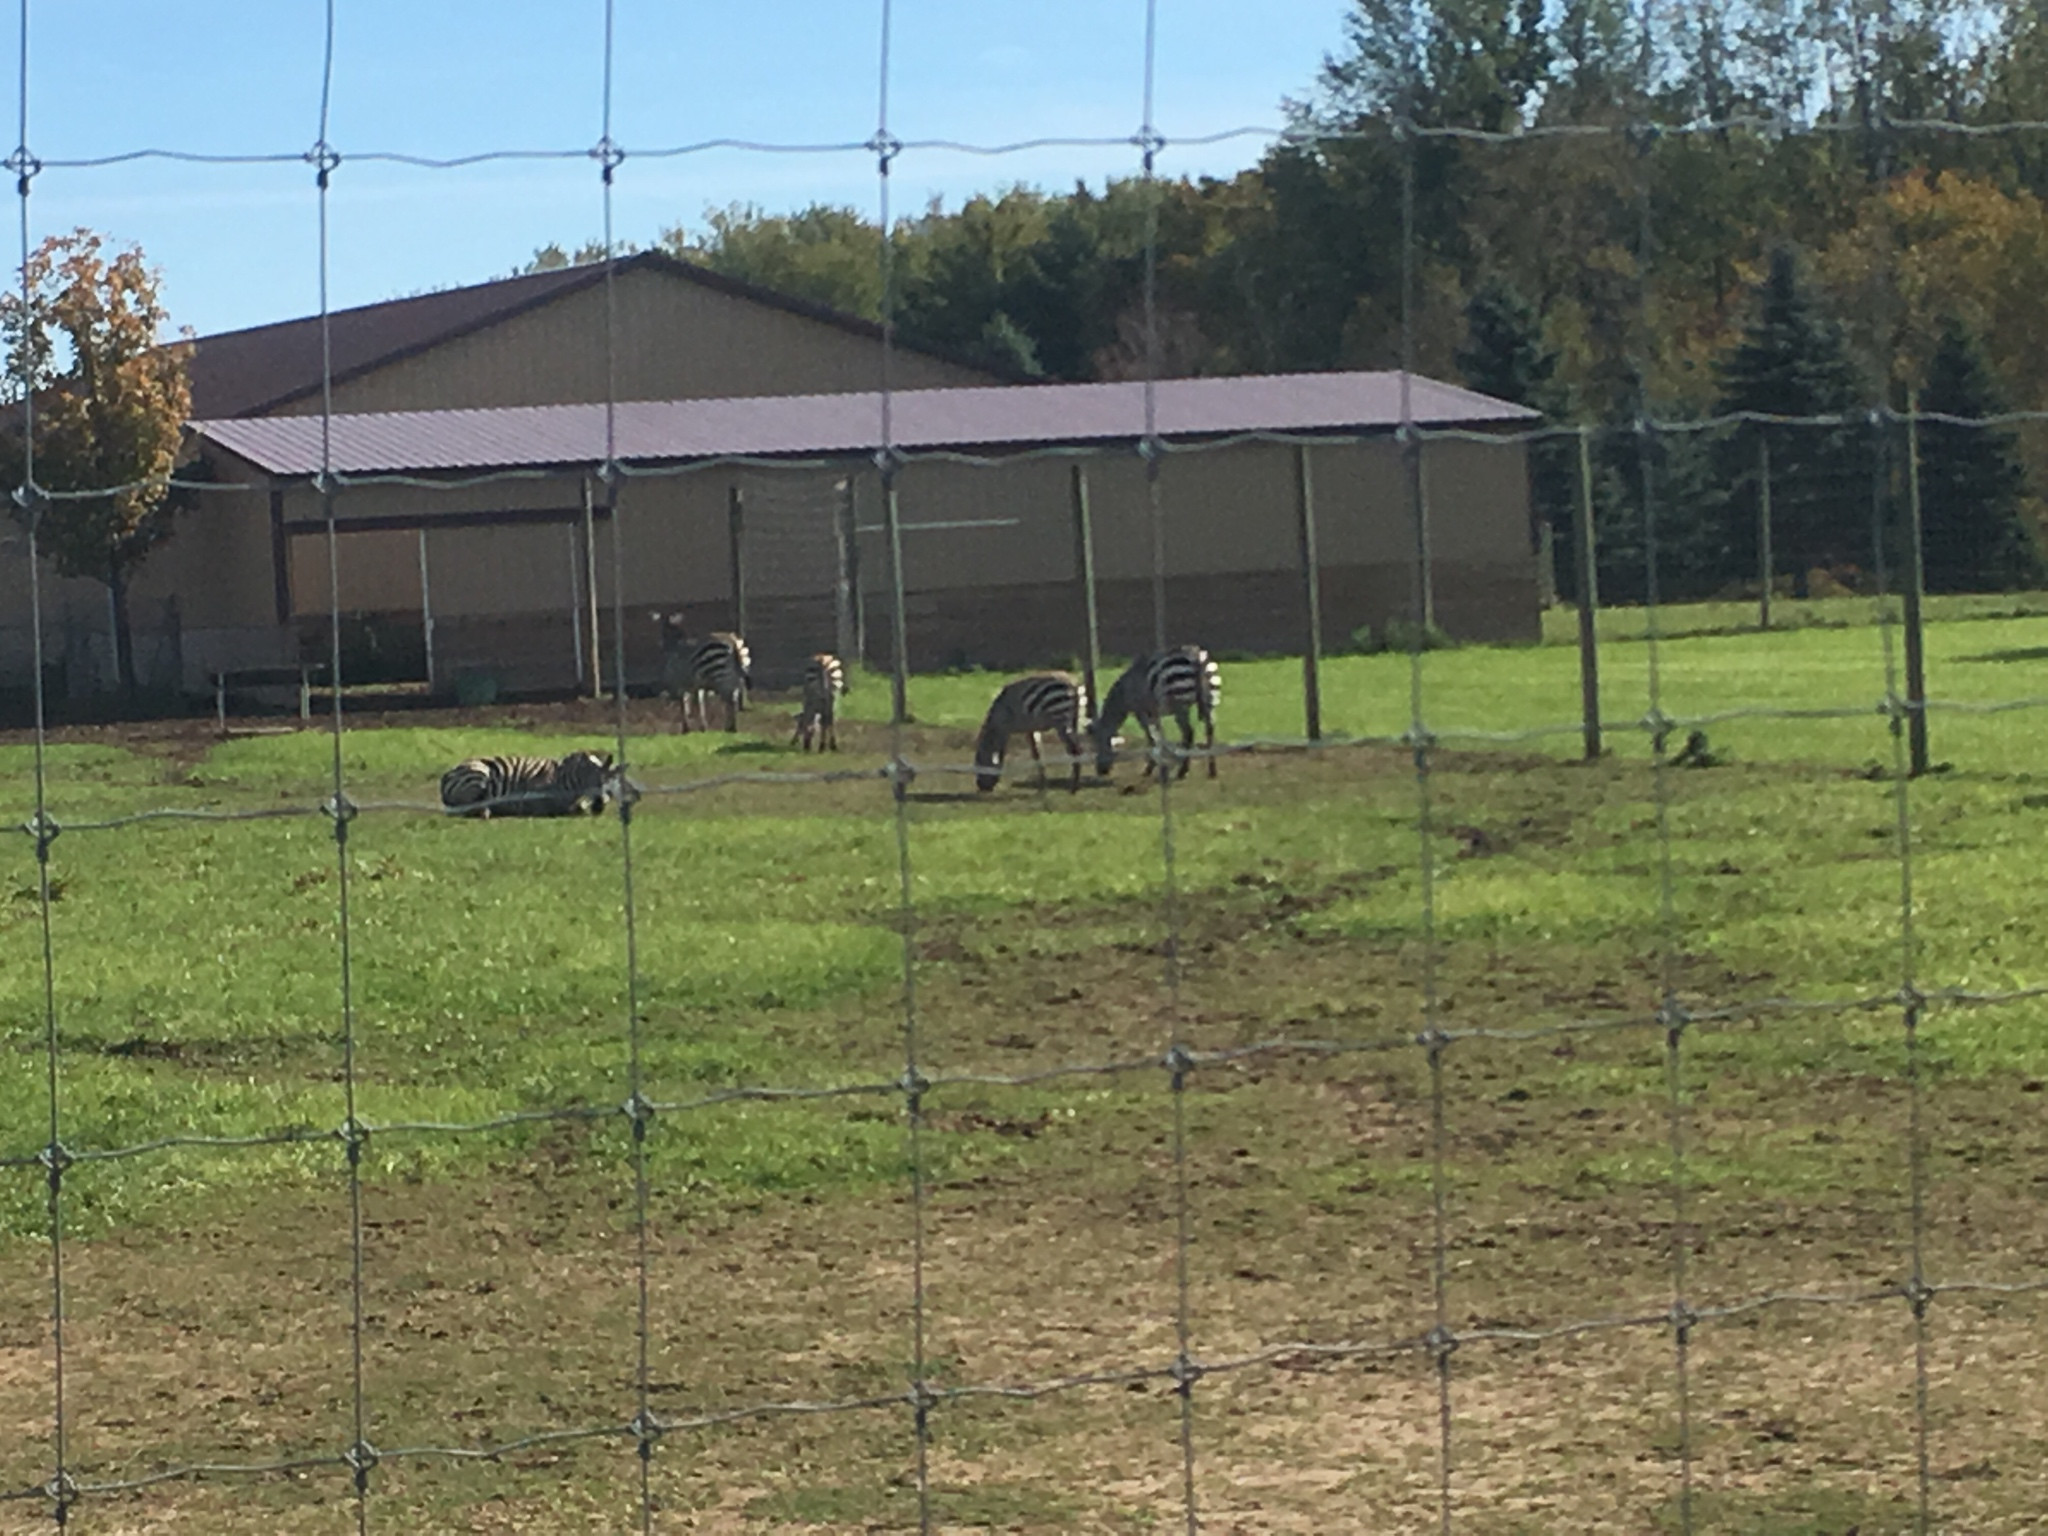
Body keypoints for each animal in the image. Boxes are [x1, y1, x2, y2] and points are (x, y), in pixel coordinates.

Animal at [440, 753, 614, 823]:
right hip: (480, 775)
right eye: (596, 782)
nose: (599, 808)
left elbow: (579, 806)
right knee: (467, 807)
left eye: (608, 784)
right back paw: (486, 811)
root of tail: (447, 774)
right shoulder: (534, 799)